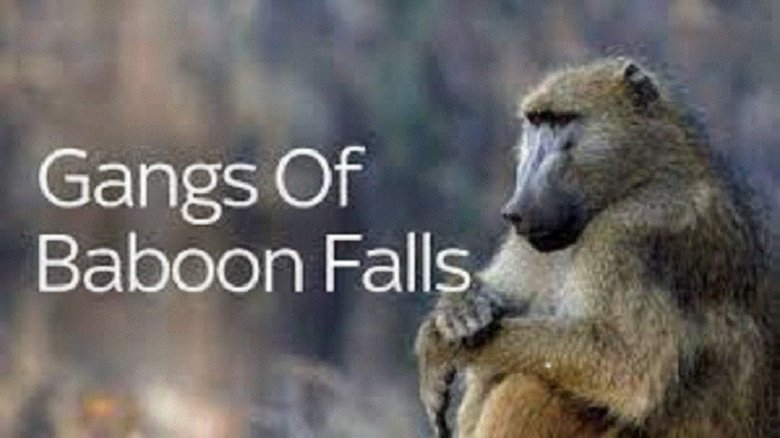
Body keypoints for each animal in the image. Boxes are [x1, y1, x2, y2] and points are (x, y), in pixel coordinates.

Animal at [415, 57, 772, 437]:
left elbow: (624, 362)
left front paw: (436, 346)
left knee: (530, 384)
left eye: (561, 121)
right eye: (536, 122)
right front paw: (459, 308)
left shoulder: (629, 233)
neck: (641, 177)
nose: (515, 211)